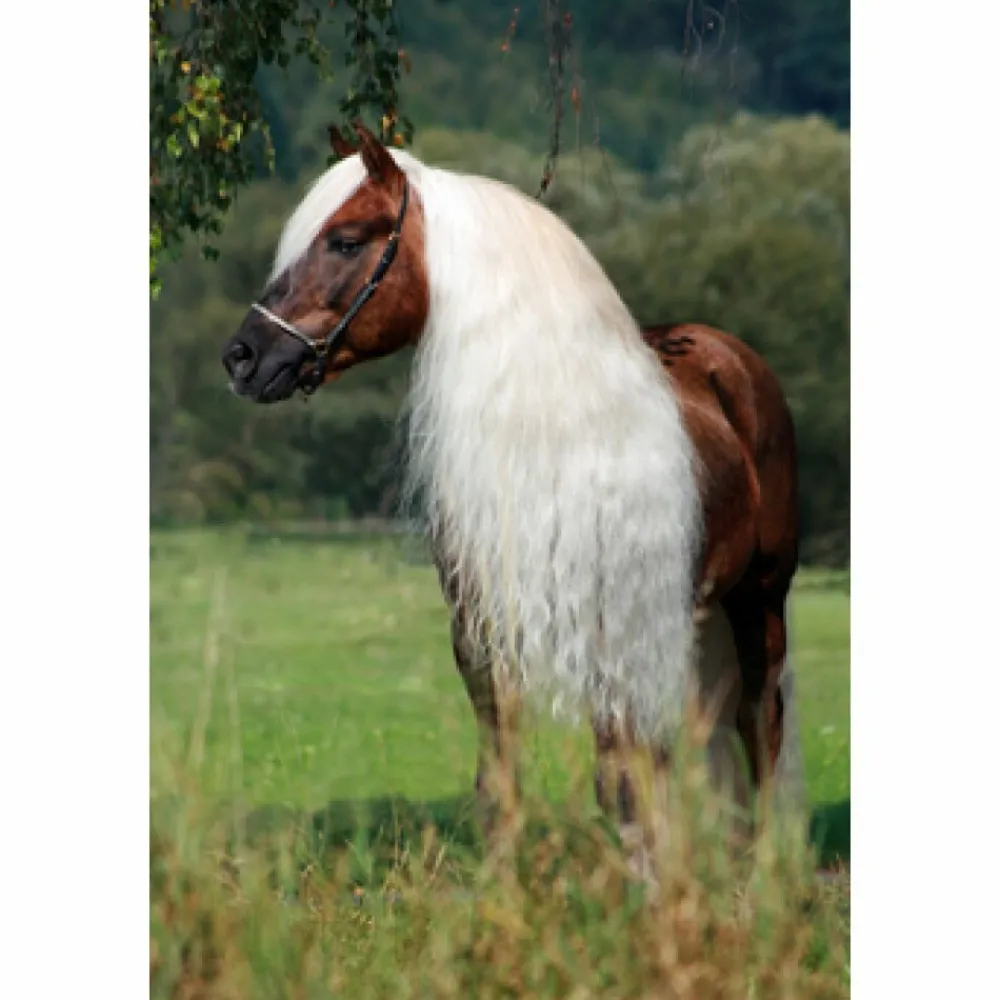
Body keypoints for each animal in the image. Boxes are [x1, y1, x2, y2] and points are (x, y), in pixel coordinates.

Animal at [220, 123, 802, 855]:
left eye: (347, 240)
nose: (242, 358)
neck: (549, 439)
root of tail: (732, 358)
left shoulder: (612, 632)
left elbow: (624, 785)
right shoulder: (482, 639)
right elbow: (501, 787)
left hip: (760, 597)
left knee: (760, 724)